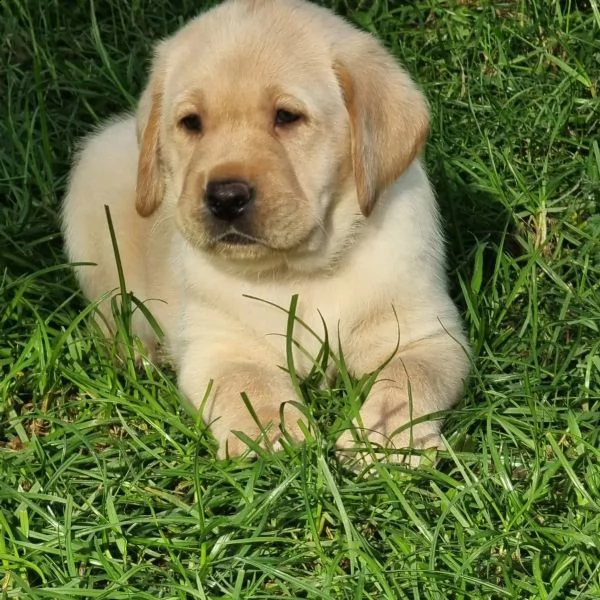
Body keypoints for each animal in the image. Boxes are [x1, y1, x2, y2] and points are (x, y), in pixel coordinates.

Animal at [63, 0, 472, 460]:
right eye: (191, 123)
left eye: (287, 117)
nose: (225, 198)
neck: (302, 270)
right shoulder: (219, 346)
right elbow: (247, 384)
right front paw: (273, 435)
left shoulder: (428, 335)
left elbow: (408, 381)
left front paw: (384, 440)